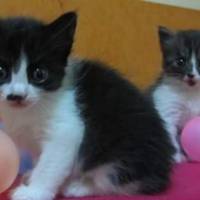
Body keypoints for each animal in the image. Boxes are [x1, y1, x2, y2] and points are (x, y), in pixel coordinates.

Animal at [0, 12, 173, 200]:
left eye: (39, 74)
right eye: (1, 71)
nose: (17, 95)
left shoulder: (67, 128)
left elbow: (50, 163)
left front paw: (34, 191)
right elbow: (39, 157)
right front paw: (32, 175)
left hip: (124, 153)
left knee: (112, 181)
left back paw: (79, 186)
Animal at [152, 26, 200, 162]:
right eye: (180, 61)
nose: (191, 75)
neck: (192, 92)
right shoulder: (165, 107)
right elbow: (170, 134)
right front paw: (177, 157)